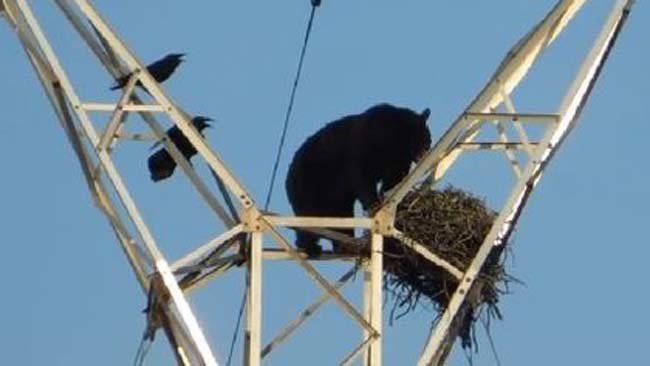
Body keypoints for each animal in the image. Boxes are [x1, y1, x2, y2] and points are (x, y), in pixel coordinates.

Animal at [284, 103, 430, 256]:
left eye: (428, 142)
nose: (424, 154)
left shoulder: (397, 159)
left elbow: (394, 178)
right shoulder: (363, 145)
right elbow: (361, 176)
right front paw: (374, 203)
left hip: (334, 198)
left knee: (341, 215)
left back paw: (343, 245)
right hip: (309, 182)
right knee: (309, 216)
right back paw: (310, 246)